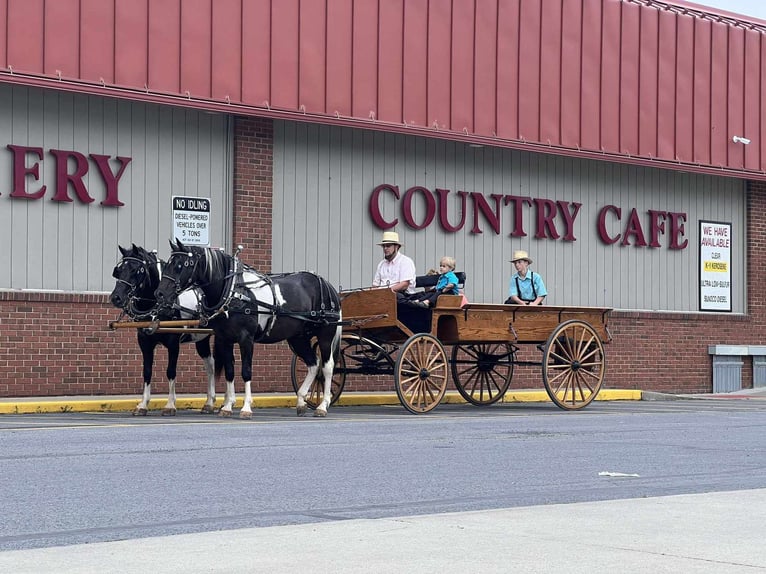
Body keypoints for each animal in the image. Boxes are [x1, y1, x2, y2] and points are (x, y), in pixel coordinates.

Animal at [108, 245, 218, 416]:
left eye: (136, 270)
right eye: (118, 270)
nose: (116, 297)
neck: (157, 307)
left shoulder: (173, 344)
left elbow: (170, 371)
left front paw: (170, 405)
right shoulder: (145, 343)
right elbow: (147, 371)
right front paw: (143, 405)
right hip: (202, 338)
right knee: (210, 365)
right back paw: (209, 402)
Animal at [154, 241, 344, 420]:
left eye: (181, 265)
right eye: (168, 263)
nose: (160, 293)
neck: (232, 292)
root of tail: (328, 286)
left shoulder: (246, 339)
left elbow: (246, 371)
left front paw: (246, 408)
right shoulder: (224, 339)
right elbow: (230, 371)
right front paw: (227, 407)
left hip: (326, 334)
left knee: (327, 366)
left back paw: (322, 406)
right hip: (298, 337)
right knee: (313, 363)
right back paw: (301, 402)